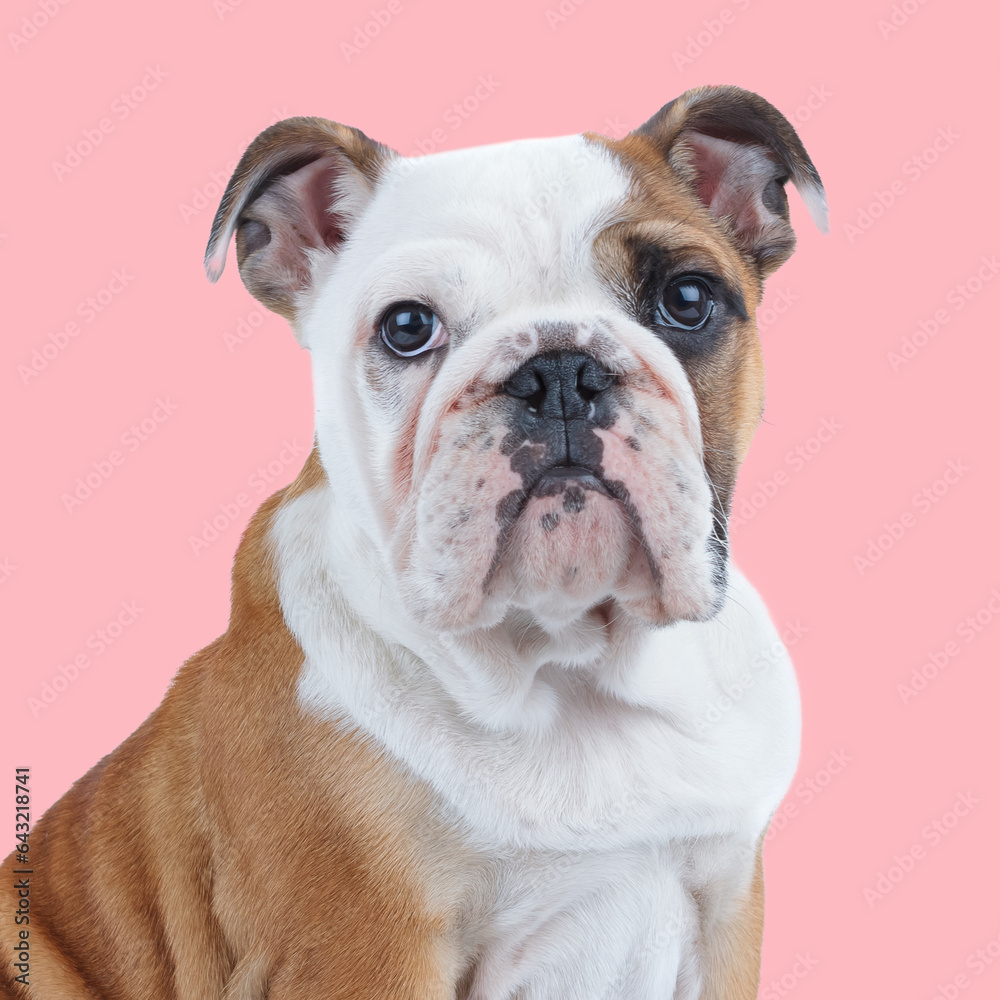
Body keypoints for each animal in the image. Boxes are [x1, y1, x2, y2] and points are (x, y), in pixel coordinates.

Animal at [0, 86, 824, 1000]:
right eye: (406, 327)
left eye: (686, 298)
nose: (560, 372)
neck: (568, 663)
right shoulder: (369, 948)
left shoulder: (726, 909)